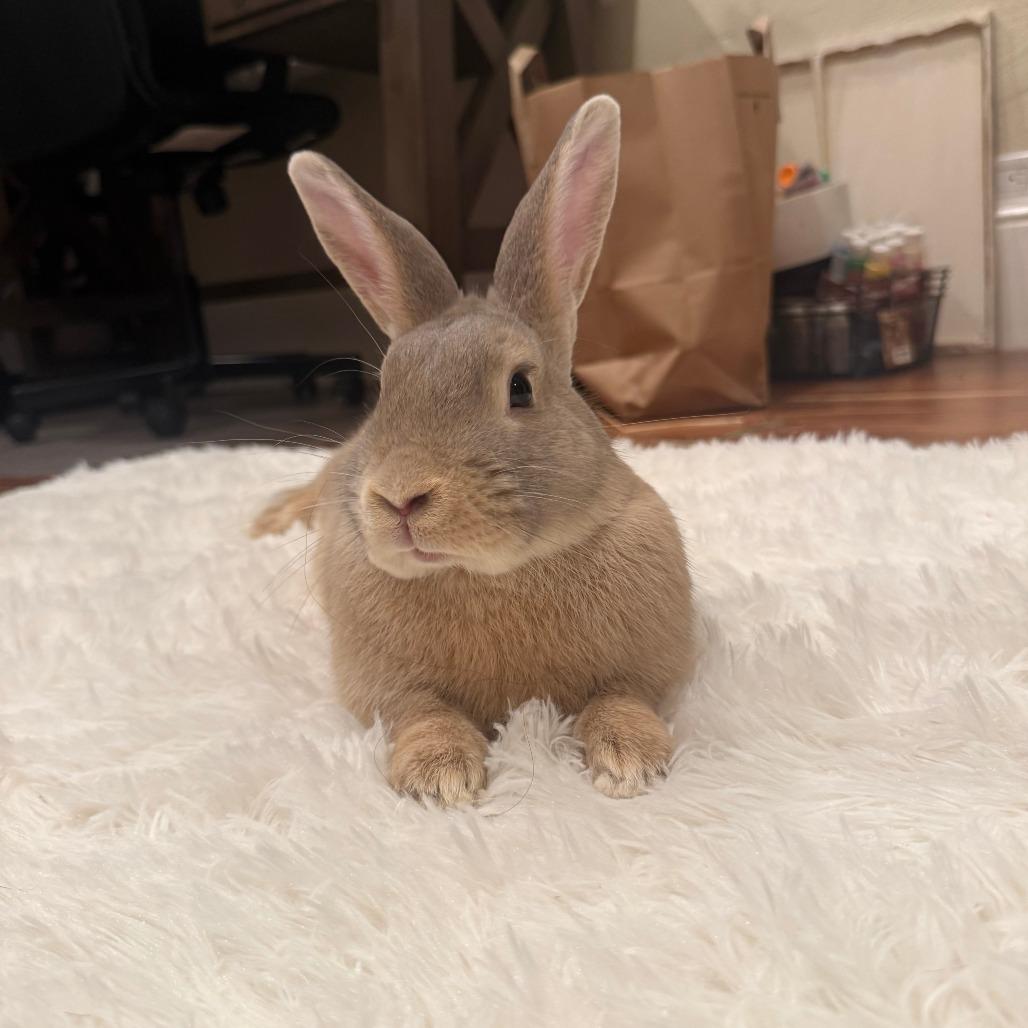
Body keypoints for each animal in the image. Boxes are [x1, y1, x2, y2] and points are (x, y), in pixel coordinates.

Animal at [252, 96, 695, 805]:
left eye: (521, 387)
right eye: (385, 389)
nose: (400, 496)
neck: (490, 574)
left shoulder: (647, 663)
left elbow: (623, 698)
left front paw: (632, 762)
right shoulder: (388, 689)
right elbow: (422, 712)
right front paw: (439, 779)